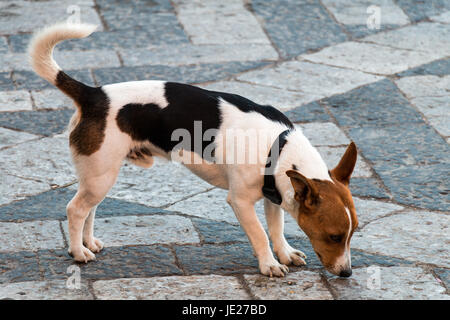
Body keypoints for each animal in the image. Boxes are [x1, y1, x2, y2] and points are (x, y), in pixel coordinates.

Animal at [29, 23, 358, 278]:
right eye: (334, 236)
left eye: (352, 234)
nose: (347, 273)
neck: (279, 145)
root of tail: (95, 95)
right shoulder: (240, 201)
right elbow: (260, 235)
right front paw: (269, 264)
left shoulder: (273, 196)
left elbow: (276, 230)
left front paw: (285, 253)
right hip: (101, 175)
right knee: (75, 210)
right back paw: (77, 252)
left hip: (100, 175)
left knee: (89, 208)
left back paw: (88, 242)